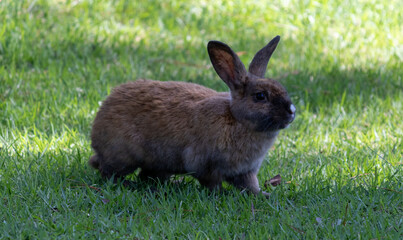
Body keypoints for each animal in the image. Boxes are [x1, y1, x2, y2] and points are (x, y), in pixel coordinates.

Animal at [90, 36, 296, 196]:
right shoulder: (205, 165)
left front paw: (263, 195)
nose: (292, 111)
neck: (238, 120)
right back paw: (127, 183)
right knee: (108, 172)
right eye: (260, 96)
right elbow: (212, 183)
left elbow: (250, 185)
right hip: (124, 156)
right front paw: (222, 194)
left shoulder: (246, 171)